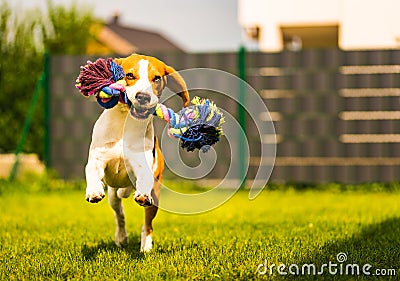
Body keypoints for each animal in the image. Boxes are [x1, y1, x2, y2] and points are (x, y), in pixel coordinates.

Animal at [85, 53, 188, 250]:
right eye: (130, 75)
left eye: (156, 79)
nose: (143, 97)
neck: (125, 122)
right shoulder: (98, 157)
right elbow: (92, 170)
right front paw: (93, 191)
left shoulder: (143, 164)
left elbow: (144, 177)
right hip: (113, 196)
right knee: (119, 213)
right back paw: (121, 237)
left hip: (155, 196)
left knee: (147, 224)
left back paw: (145, 246)